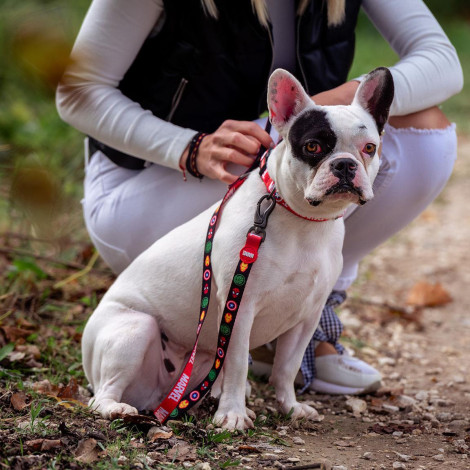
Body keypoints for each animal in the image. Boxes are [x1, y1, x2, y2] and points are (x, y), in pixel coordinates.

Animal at [81, 66, 392, 430]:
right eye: (313, 146)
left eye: (369, 147)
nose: (344, 164)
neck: (304, 219)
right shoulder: (239, 308)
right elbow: (238, 364)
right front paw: (232, 414)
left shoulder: (306, 316)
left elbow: (287, 367)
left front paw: (290, 407)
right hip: (133, 330)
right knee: (102, 393)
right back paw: (117, 408)